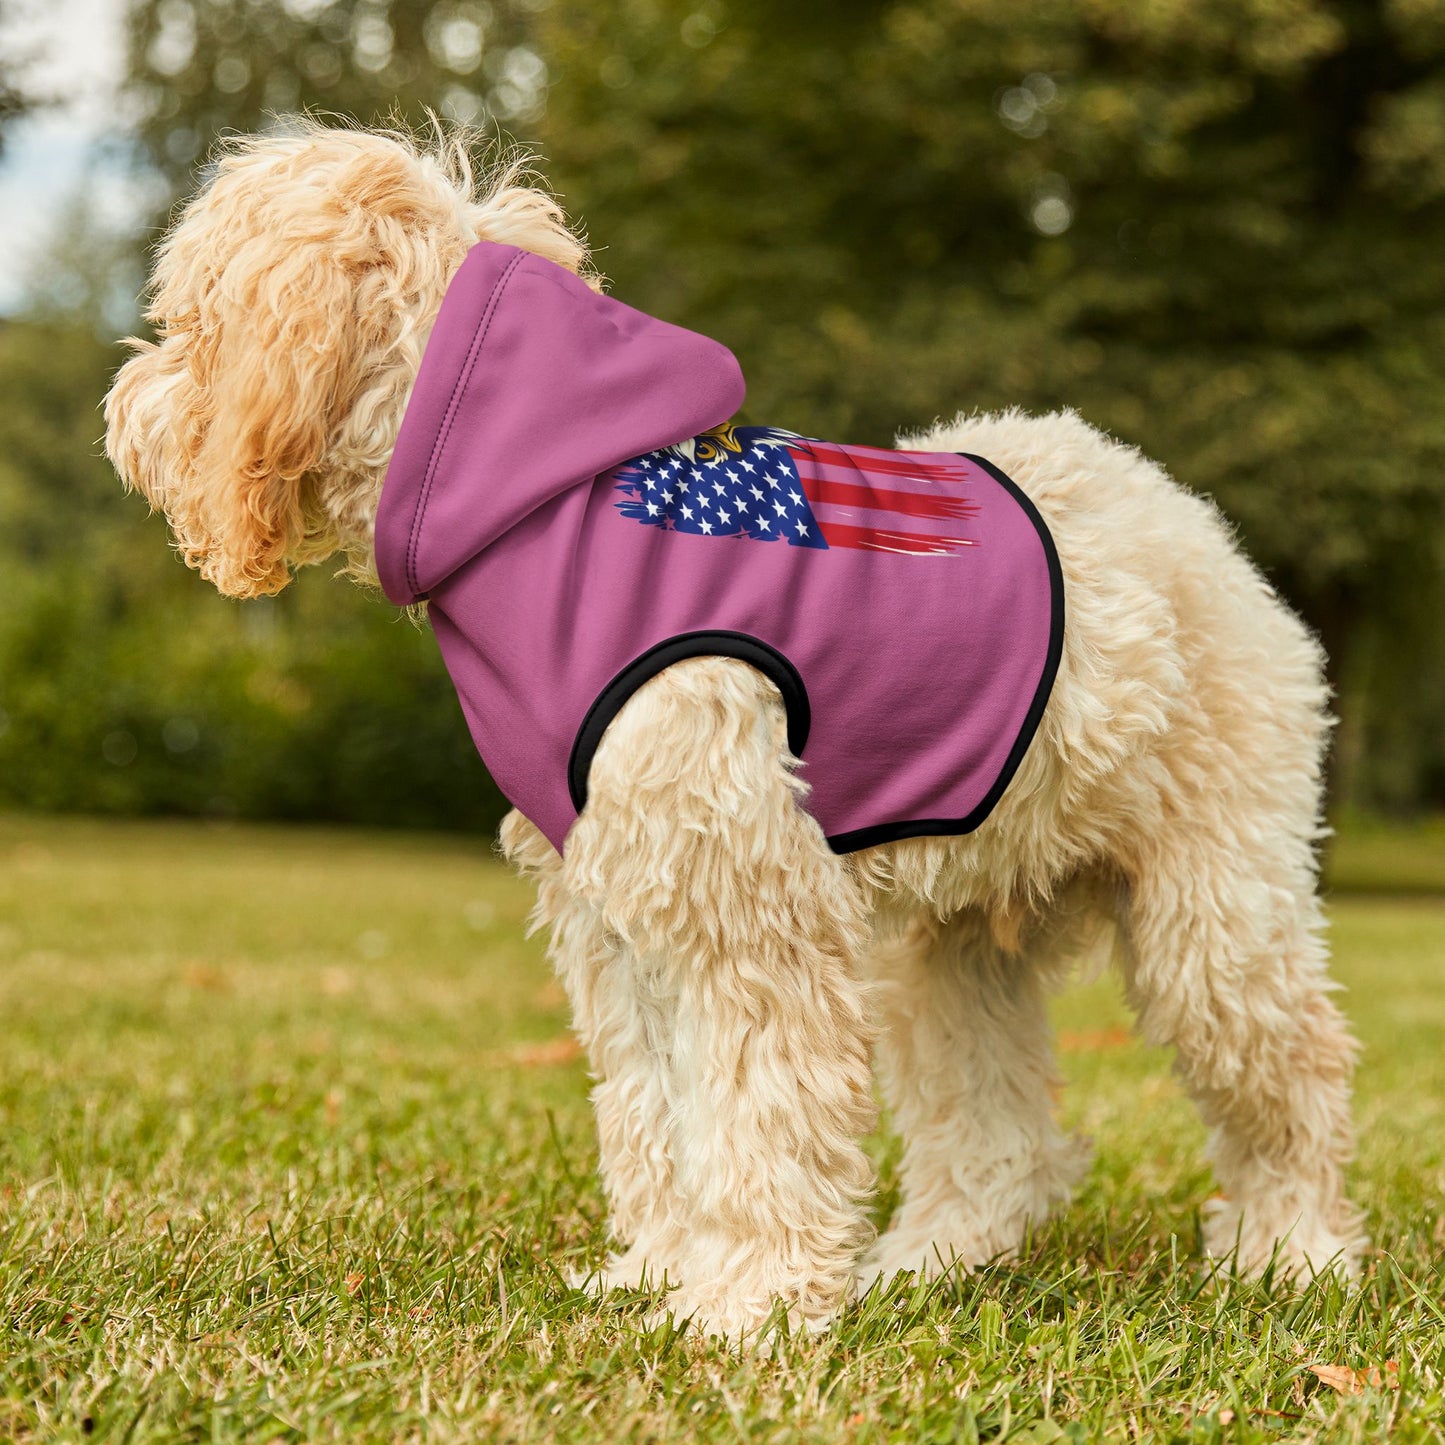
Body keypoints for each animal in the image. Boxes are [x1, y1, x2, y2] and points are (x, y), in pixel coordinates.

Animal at [104, 124, 1364, 1340]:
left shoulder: (744, 906)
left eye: (190, 319)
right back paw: (929, 1260)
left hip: (1213, 913)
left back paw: (1290, 1252)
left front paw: (747, 1304)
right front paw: (662, 1273)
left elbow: (758, 1113)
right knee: (995, 1134)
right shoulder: (619, 913)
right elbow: (656, 1112)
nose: (123, 407)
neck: (542, 504)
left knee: (1293, 1076)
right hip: (950, 947)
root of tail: (1187, 519)